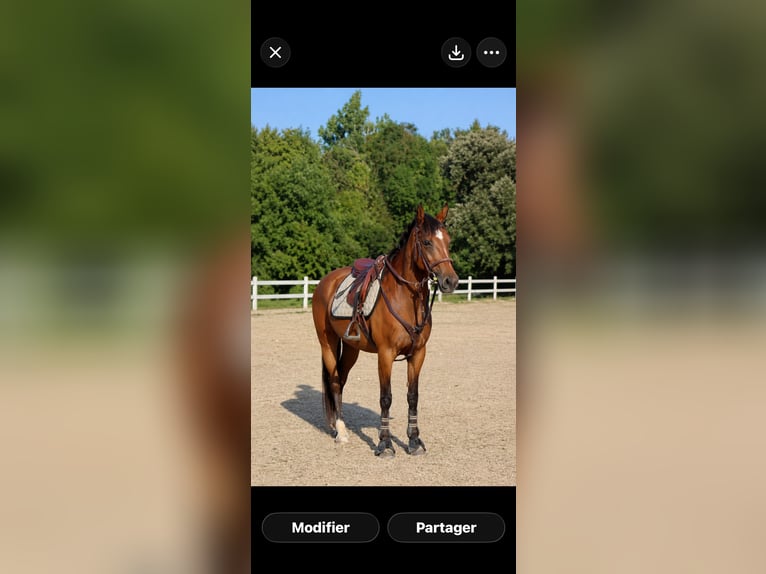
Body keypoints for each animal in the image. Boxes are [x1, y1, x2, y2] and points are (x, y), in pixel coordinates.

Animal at [311, 204, 459, 457]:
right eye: (427, 242)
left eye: (448, 241)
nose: (451, 281)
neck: (405, 299)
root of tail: (325, 282)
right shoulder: (385, 354)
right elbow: (386, 398)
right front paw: (385, 444)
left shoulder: (418, 354)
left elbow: (413, 397)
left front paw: (413, 441)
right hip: (327, 344)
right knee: (334, 381)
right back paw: (341, 432)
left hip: (351, 349)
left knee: (342, 380)